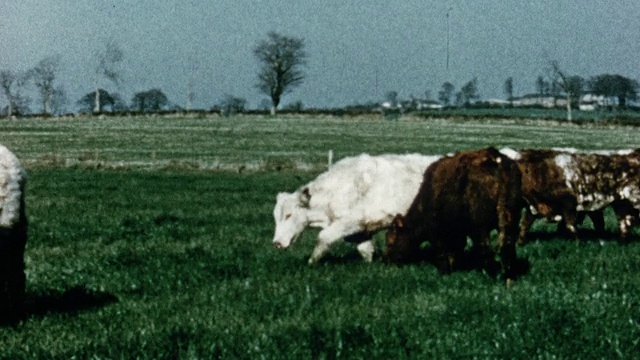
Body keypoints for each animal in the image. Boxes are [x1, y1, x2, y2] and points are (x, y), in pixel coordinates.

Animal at [270, 153, 440, 264]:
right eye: (275, 217)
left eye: (289, 215)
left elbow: (323, 237)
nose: (276, 243)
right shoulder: (361, 230)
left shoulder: (351, 222)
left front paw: (312, 262)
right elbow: (365, 250)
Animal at [382, 148, 524, 280]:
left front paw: (445, 271)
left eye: (390, 241)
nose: (387, 260)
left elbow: (442, 252)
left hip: (480, 226)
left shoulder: (437, 232)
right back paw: (509, 275)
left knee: (485, 246)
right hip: (511, 219)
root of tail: (496, 159)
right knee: (508, 246)